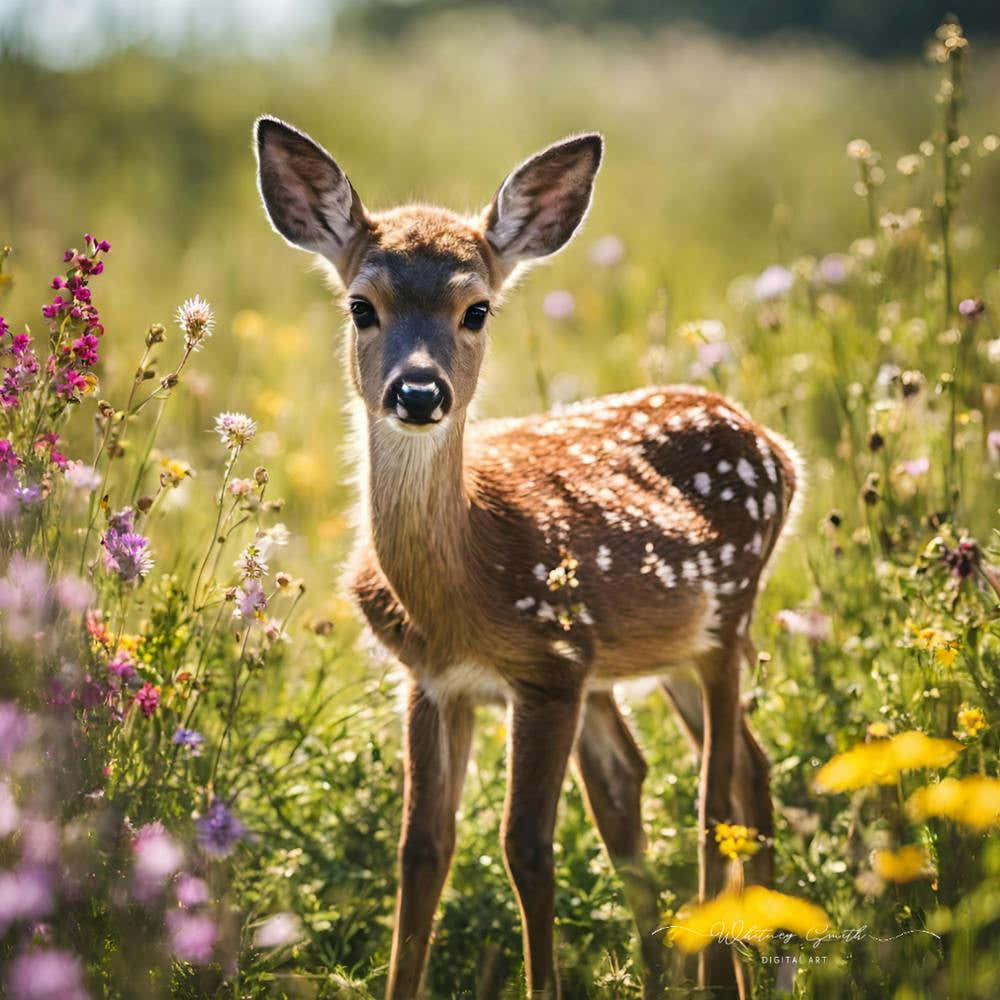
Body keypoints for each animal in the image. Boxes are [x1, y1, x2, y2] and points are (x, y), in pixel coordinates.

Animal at [254, 115, 802, 1000]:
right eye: (361, 305)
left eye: (476, 309)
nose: (418, 392)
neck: (462, 578)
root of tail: (779, 447)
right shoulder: (435, 682)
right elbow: (422, 851)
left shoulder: (550, 666)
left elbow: (527, 849)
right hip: (663, 656)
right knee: (732, 771)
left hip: (727, 618)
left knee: (714, 799)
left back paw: (734, 971)